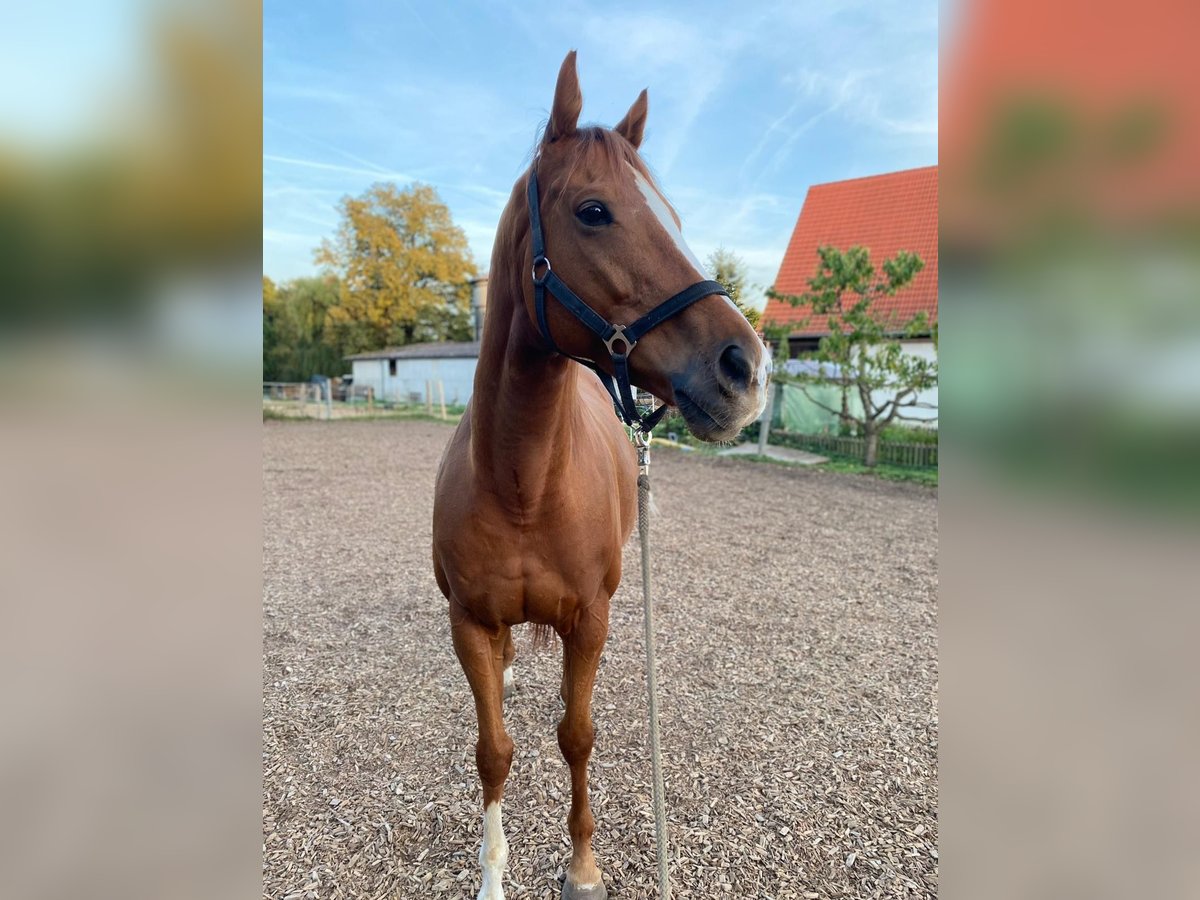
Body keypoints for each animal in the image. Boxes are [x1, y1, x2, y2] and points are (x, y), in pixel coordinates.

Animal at [432, 51, 770, 900]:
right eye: (594, 211)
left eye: (673, 217)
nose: (748, 369)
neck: (522, 484)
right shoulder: (469, 624)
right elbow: (495, 750)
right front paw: (492, 877)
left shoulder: (591, 620)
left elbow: (577, 735)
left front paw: (583, 866)